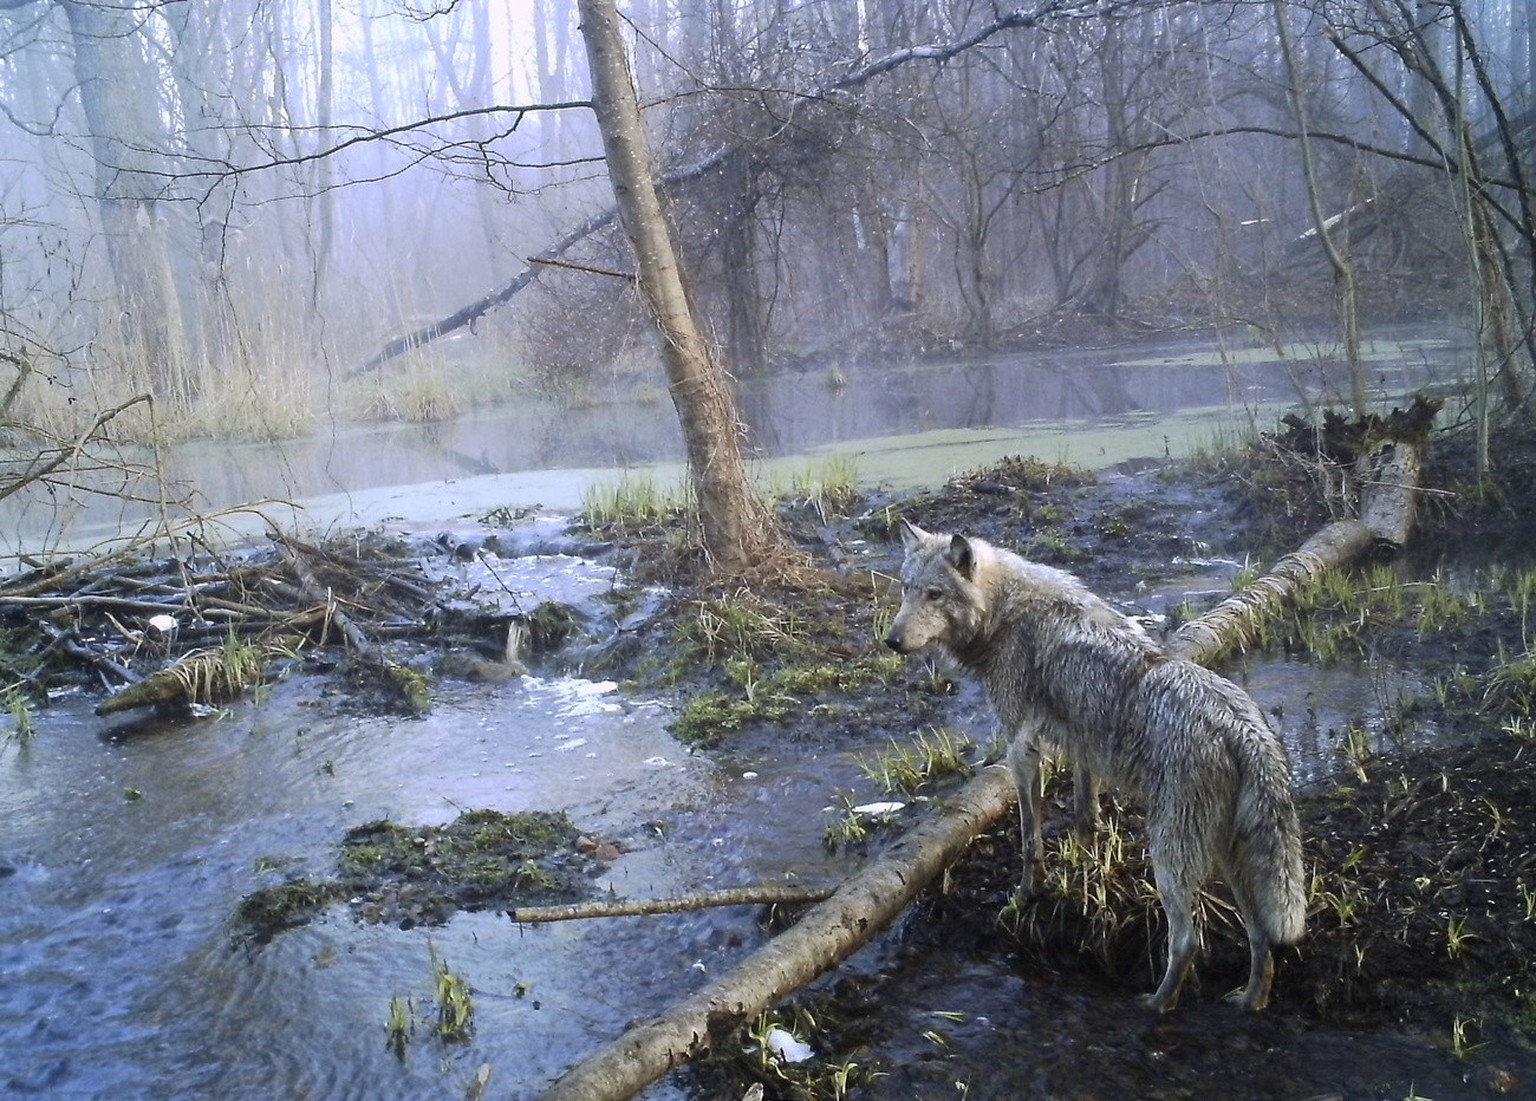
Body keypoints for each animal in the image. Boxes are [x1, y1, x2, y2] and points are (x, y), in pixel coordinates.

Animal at [884, 519, 1302, 1007]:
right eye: (907, 588)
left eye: (935, 595)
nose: (892, 641)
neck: (1004, 612)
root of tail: (1243, 727)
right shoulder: (1083, 746)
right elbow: (1085, 817)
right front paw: (1083, 876)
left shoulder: (1022, 750)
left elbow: (1029, 841)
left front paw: (1025, 897)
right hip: (1227, 857)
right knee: (1260, 935)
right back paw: (1249, 1001)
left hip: (1171, 858)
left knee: (1187, 940)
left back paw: (1157, 1005)